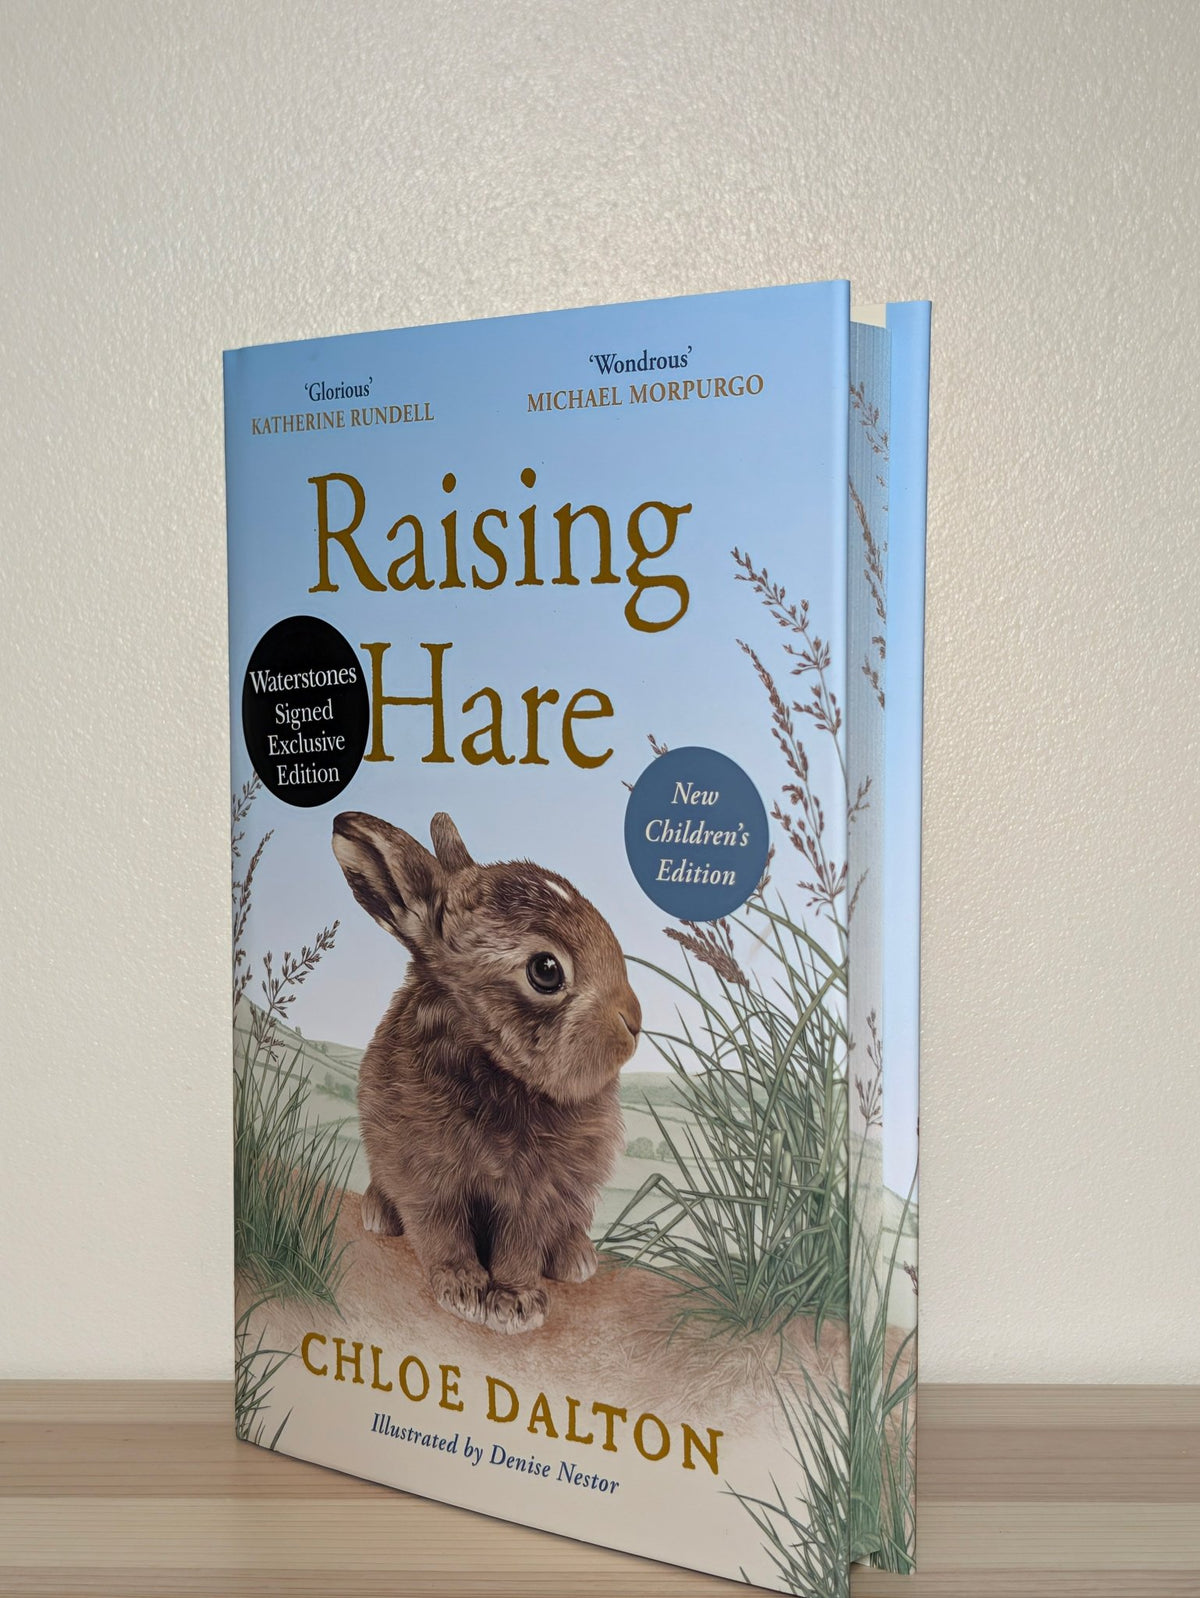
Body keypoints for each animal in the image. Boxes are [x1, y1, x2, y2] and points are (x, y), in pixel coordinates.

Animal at [331, 810, 641, 1335]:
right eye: (546, 970)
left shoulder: (538, 1191)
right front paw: (462, 1291)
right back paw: (378, 1214)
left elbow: (521, 1242)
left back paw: (575, 1259)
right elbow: (442, 1231)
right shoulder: (425, 1175)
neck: (494, 1066)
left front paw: (515, 1304)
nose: (634, 1022)